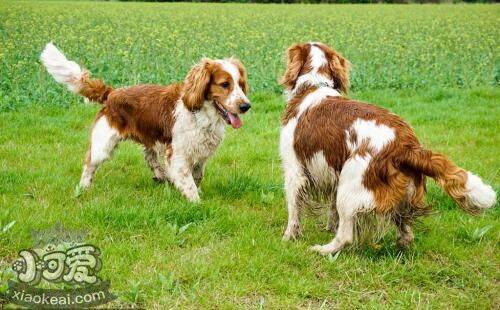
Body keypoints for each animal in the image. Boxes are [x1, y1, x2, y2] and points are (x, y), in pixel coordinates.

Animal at [40, 42, 250, 202]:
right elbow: (188, 181)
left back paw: (161, 176)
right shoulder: (178, 154)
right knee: (89, 163)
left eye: (240, 84)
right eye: (225, 84)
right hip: (103, 144)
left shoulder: (200, 153)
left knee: (149, 157)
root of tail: (111, 93)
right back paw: (84, 188)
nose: (246, 106)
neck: (202, 114)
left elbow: (197, 175)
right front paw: (196, 202)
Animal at [282, 41, 496, 254]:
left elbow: (293, 210)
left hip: (350, 186)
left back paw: (323, 249)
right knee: (406, 231)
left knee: (346, 236)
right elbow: (331, 212)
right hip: (400, 192)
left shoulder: (294, 171)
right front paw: (327, 227)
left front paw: (288, 237)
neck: (313, 85)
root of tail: (406, 146)